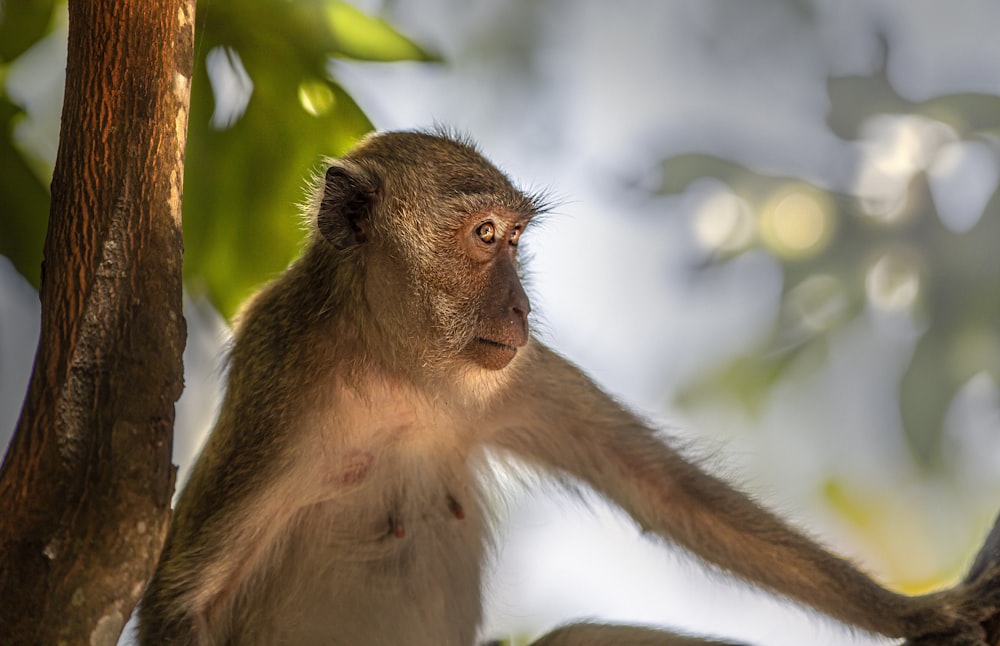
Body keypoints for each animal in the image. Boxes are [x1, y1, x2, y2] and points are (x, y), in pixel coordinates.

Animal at [139, 132, 1000, 646]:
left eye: (516, 240)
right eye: (485, 237)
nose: (521, 306)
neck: (396, 367)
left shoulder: (510, 377)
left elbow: (665, 490)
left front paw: (917, 612)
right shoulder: (285, 383)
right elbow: (183, 598)